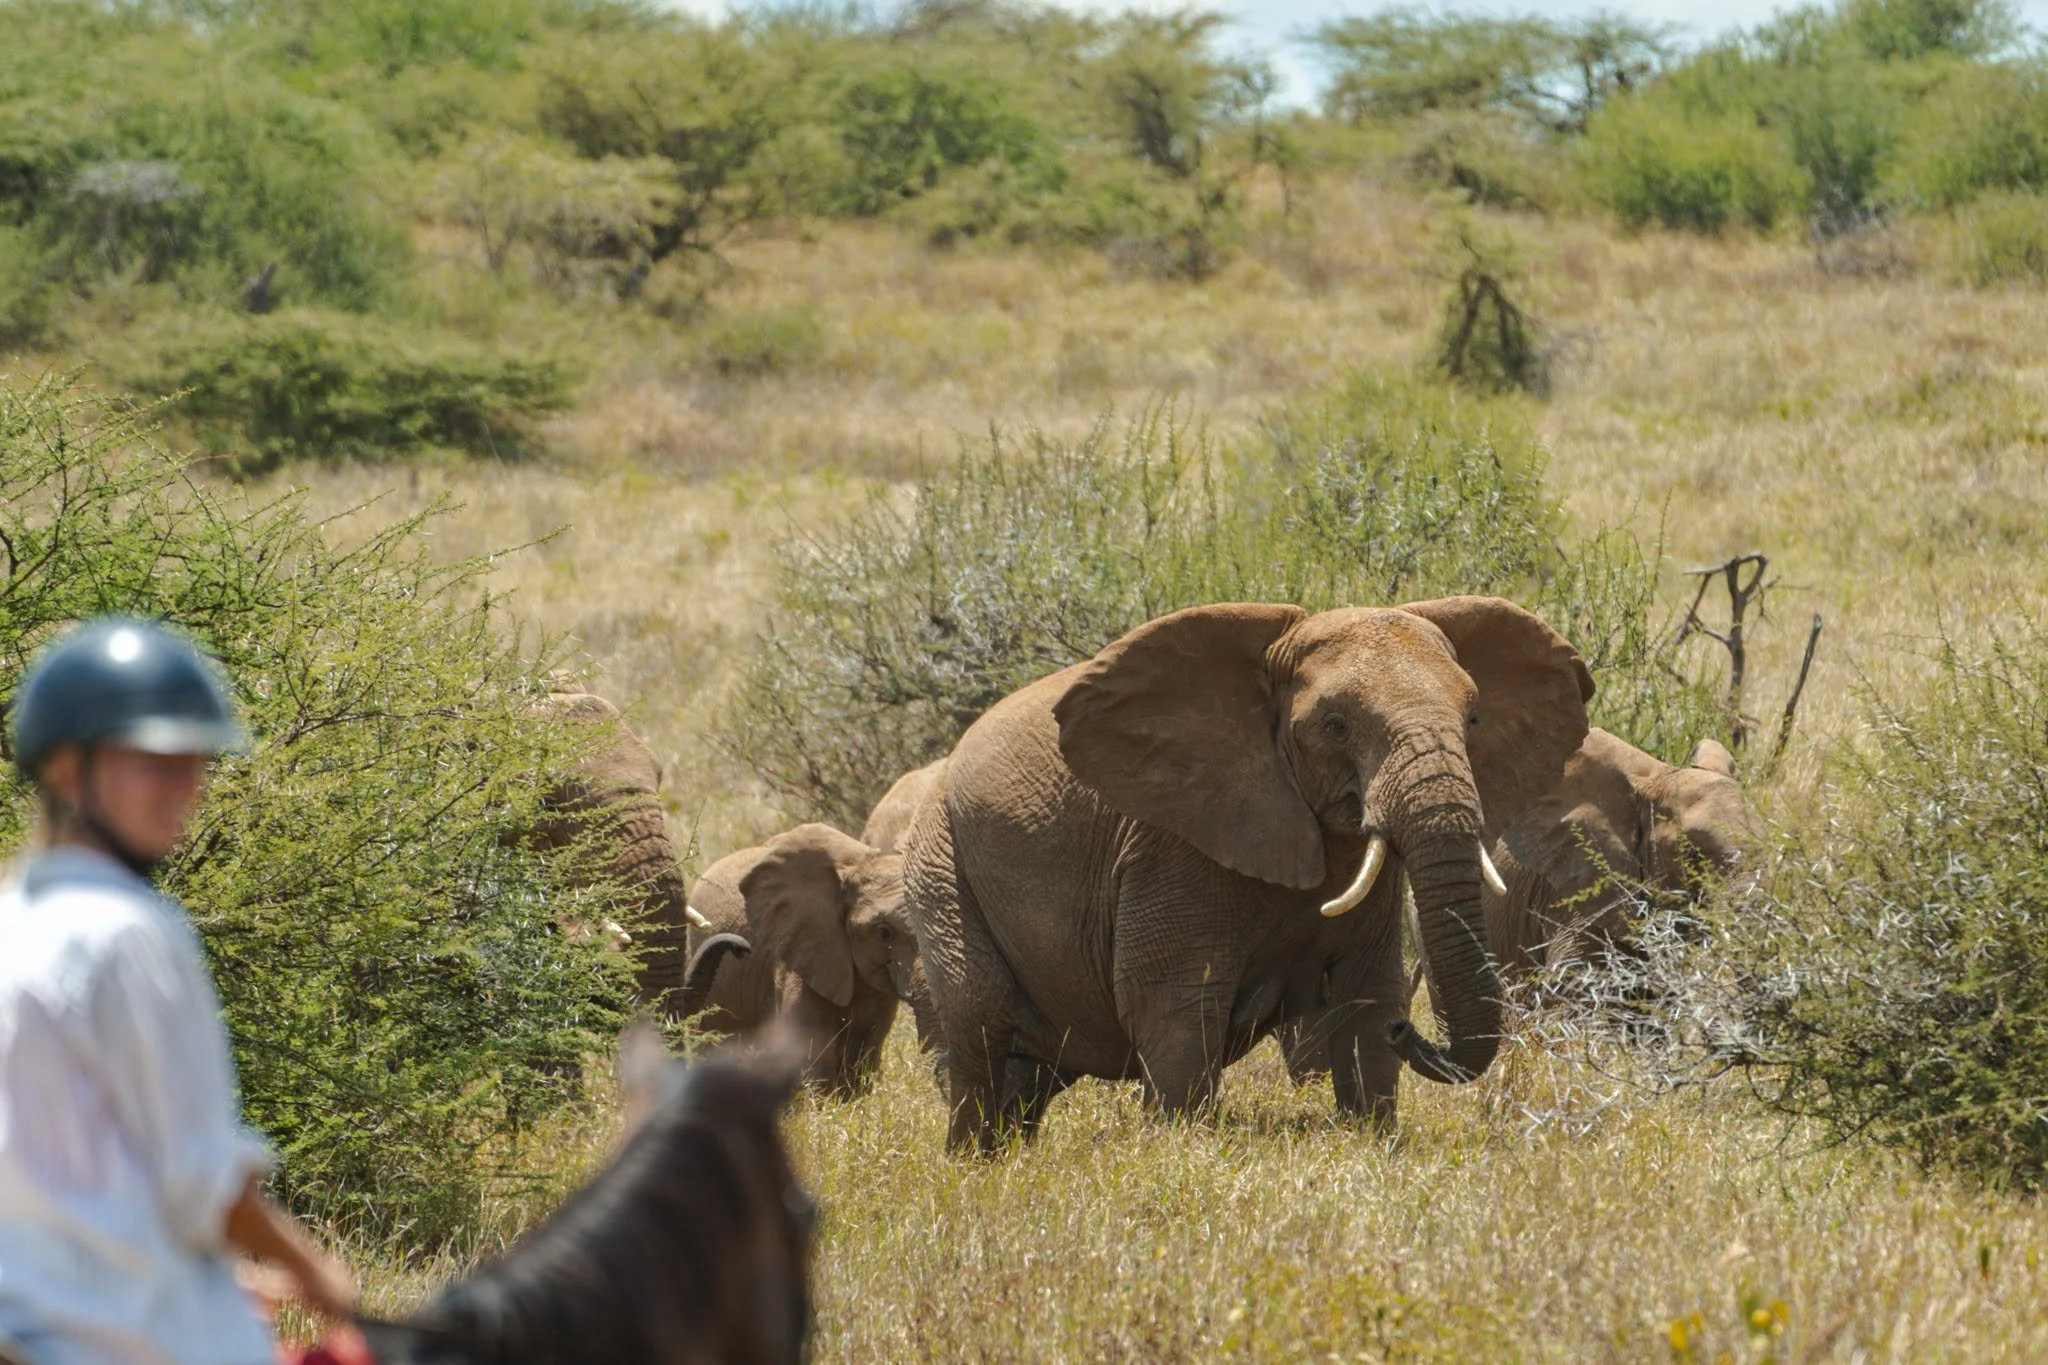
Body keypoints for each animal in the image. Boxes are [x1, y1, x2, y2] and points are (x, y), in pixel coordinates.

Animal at [902, 596, 1592, 1155]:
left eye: (1473, 719)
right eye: (1336, 725)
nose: (1411, 1029)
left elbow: (1366, 995)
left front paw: (1372, 1138)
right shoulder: (1168, 847)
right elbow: (1173, 1006)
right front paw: (1181, 1153)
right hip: (939, 862)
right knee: (980, 1030)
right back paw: (975, 1166)